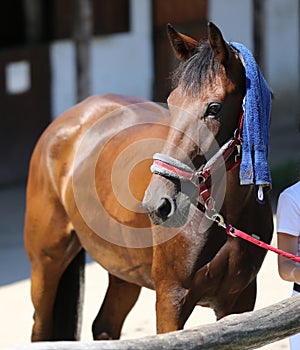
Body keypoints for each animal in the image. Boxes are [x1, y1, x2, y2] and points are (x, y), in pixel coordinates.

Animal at [24, 22, 274, 342]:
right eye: (171, 103)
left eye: (215, 108)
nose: (158, 202)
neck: (222, 218)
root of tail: (70, 118)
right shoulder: (170, 299)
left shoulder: (240, 301)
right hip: (46, 264)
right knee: (41, 329)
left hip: (123, 270)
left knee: (104, 326)